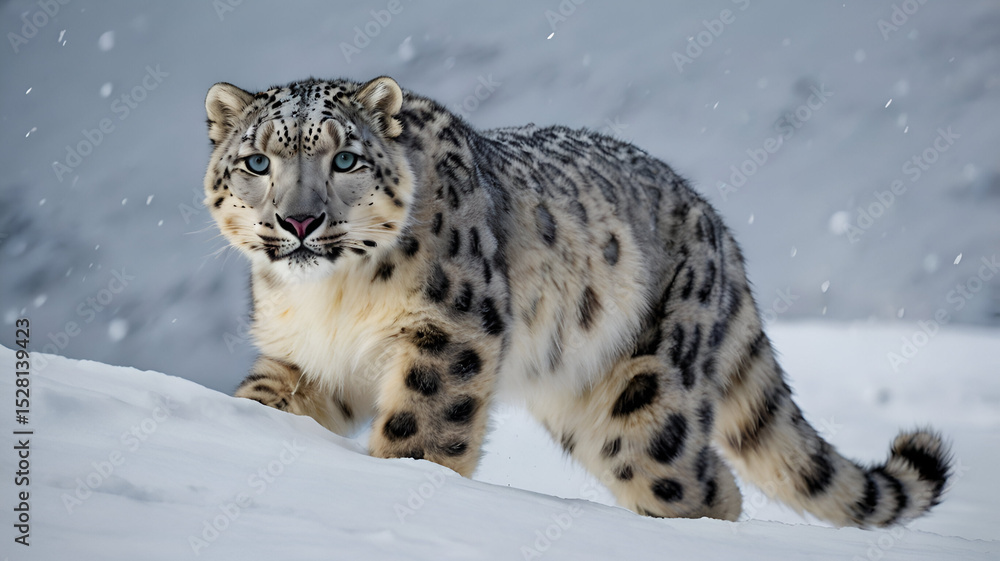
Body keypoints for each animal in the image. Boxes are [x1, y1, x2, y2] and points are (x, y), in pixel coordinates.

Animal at [203, 75, 951, 526]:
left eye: (346, 160)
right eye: (258, 162)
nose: (300, 221)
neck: (332, 299)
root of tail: (715, 223)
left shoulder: (449, 335)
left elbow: (417, 436)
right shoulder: (303, 357)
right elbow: (267, 398)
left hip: (647, 395)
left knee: (696, 482)